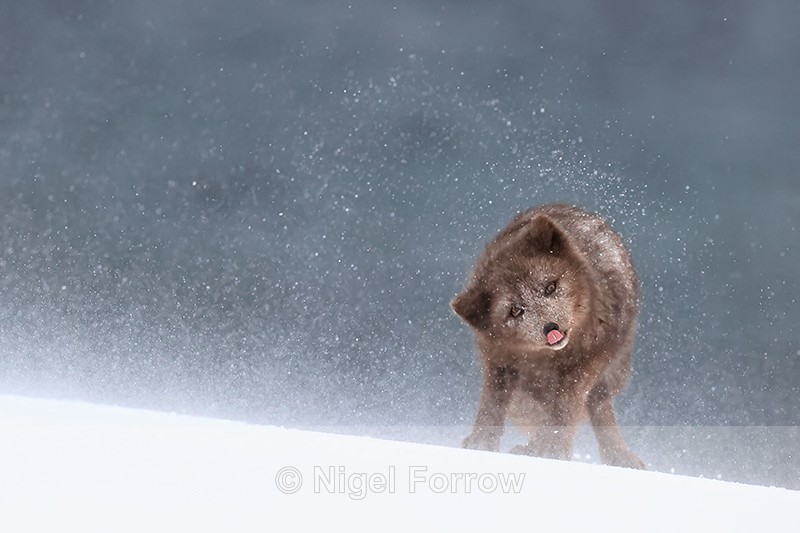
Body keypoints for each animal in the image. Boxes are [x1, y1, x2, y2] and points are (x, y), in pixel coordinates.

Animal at [452, 204, 644, 469]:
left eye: (550, 287)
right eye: (515, 310)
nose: (550, 328)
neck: (547, 360)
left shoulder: (583, 368)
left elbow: (562, 413)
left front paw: (553, 453)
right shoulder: (499, 363)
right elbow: (491, 407)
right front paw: (481, 447)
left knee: (594, 407)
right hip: (526, 398)